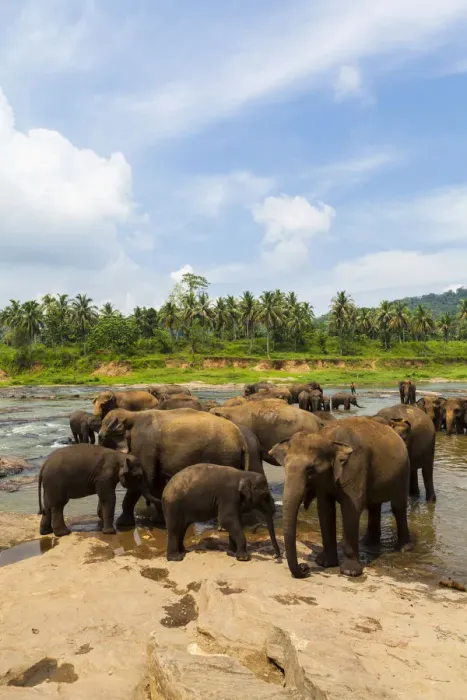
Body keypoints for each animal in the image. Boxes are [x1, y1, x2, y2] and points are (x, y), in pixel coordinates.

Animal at [98, 408, 253, 528]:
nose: (99, 516)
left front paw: (122, 524)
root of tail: (241, 440)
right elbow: (155, 482)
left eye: (101, 437)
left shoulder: (144, 445)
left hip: (224, 456)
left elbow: (143, 481)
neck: (132, 415)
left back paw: (221, 528)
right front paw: (159, 521)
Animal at [270, 417, 411, 578]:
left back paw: (403, 548)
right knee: (374, 506)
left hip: (403, 471)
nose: (305, 567)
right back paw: (368, 543)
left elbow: (351, 509)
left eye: (310, 470)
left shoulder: (355, 467)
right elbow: (325, 509)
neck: (329, 439)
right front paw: (324, 563)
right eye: (285, 467)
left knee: (398, 506)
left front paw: (350, 572)